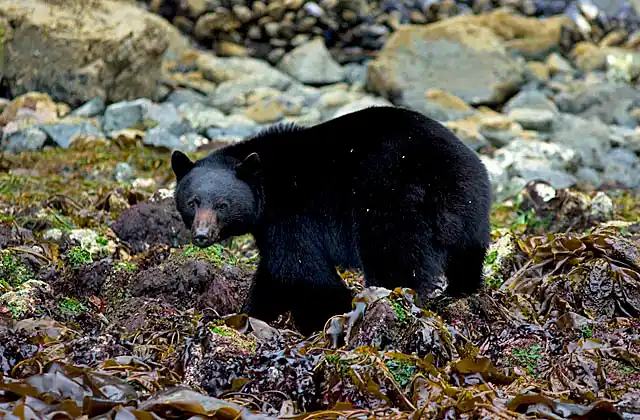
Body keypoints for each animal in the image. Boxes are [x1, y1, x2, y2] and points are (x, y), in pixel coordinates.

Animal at [170, 106, 493, 336]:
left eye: (222, 205)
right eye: (192, 201)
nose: (201, 235)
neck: (266, 185)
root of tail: (442, 178)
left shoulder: (293, 214)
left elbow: (299, 269)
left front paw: (326, 316)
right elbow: (274, 271)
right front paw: (250, 312)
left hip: (389, 202)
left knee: (395, 258)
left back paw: (393, 300)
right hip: (472, 207)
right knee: (468, 253)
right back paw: (458, 291)